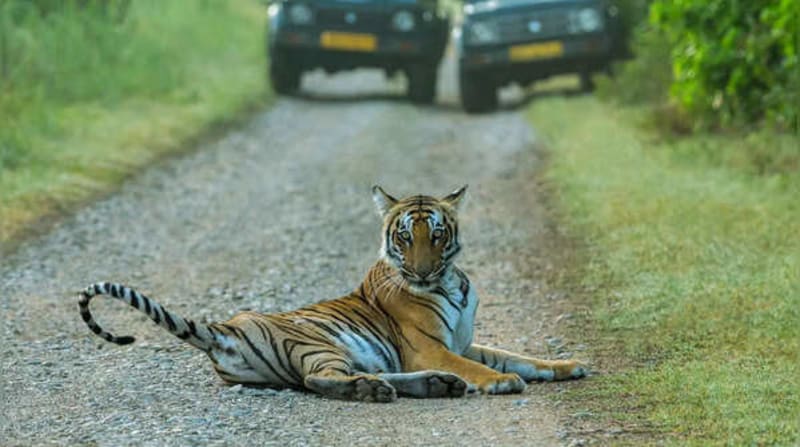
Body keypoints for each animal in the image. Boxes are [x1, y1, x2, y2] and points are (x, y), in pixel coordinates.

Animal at [78, 186, 587, 402]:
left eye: (438, 235)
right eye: (405, 237)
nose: (422, 271)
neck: (450, 281)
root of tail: (225, 328)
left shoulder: (463, 342)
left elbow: (519, 356)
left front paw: (566, 366)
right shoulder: (429, 348)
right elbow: (485, 367)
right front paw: (501, 381)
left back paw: (431, 386)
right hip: (319, 344)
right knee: (317, 380)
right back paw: (380, 390)